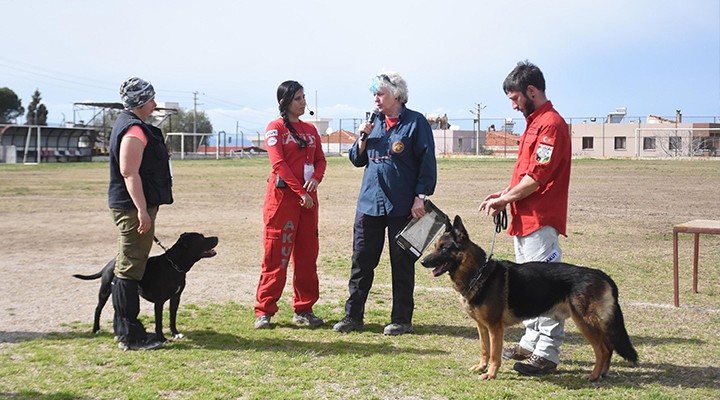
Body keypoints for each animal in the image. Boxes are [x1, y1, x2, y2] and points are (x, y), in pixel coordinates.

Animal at [75, 233, 219, 342]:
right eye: (201, 238)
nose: (216, 237)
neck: (174, 266)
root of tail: (108, 264)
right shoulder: (159, 302)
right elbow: (159, 322)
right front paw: (162, 338)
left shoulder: (176, 298)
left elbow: (172, 318)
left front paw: (175, 333)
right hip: (104, 291)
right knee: (97, 309)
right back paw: (96, 329)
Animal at [420, 216, 640, 382]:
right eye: (435, 246)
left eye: (444, 248)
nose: (422, 261)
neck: (478, 273)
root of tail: (603, 275)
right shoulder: (482, 326)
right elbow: (484, 349)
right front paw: (482, 367)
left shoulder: (495, 328)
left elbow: (494, 354)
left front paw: (491, 374)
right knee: (609, 348)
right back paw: (602, 374)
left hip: (585, 322)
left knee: (603, 349)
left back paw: (593, 376)